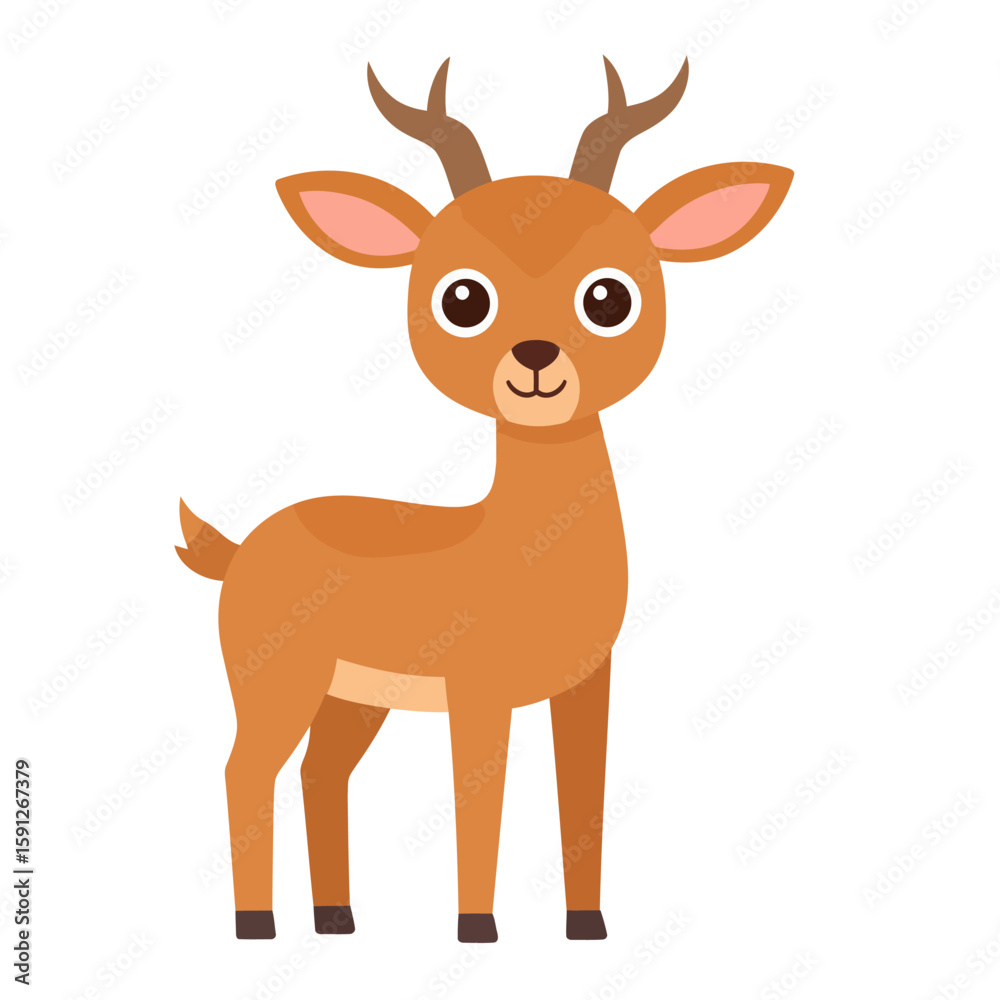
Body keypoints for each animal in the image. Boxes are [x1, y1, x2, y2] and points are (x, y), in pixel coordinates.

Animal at [177, 56, 792, 943]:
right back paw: (256, 923)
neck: (519, 546)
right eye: (462, 299)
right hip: (276, 684)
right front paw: (476, 927)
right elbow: (483, 800)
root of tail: (239, 548)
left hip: (353, 700)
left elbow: (583, 798)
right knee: (242, 769)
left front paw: (587, 926)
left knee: (320, 772)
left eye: (609, 296)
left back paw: (337, 918)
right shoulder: (477, 696)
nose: (535, 360)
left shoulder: (587, 686)